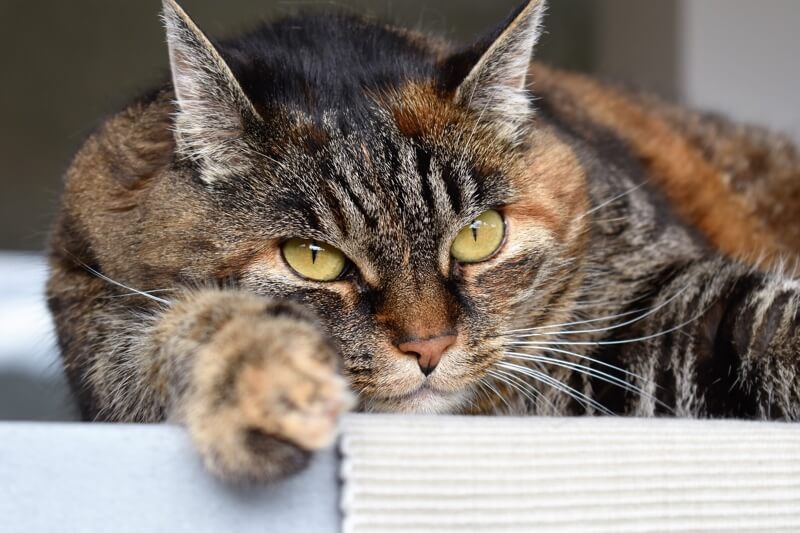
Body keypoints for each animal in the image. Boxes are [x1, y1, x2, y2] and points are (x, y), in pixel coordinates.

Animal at [48, 0, 800, 482]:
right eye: (313, 258)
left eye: (478, 236)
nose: (429, 347)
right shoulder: (99, 330)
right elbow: (168, 335)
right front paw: (260, 370)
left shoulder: (644, 319)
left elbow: (762, 321)